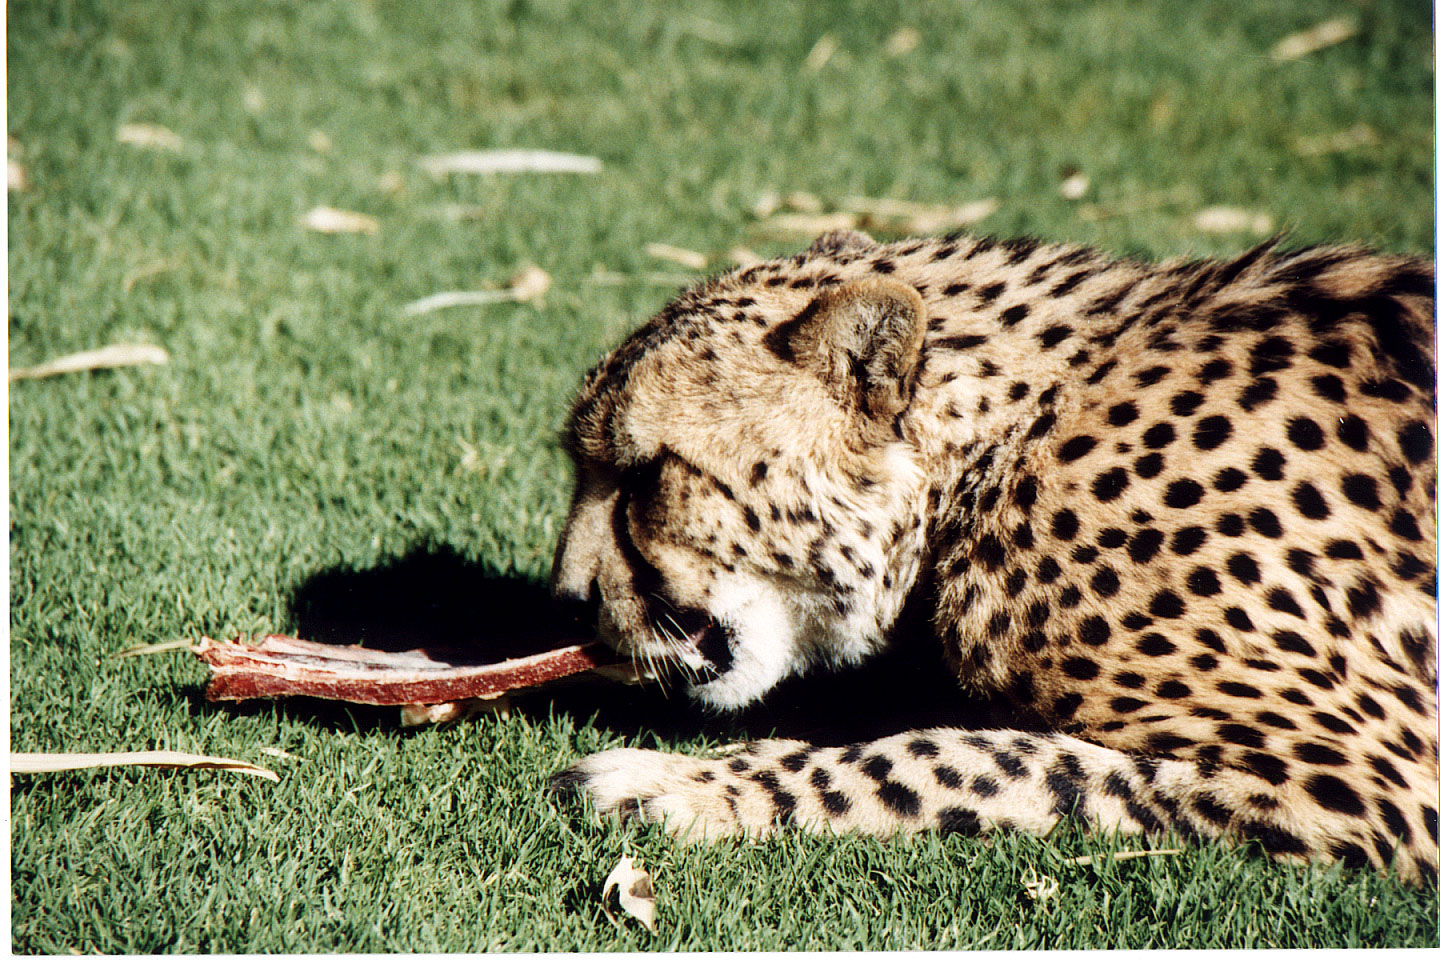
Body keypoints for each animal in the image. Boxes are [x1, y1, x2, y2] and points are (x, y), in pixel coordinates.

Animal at [544, 230, 1434, 886]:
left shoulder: (1368, 781)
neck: (1009, 438)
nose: (566, 597)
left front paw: (686, 784)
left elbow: (957, 757)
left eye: (644, 473)